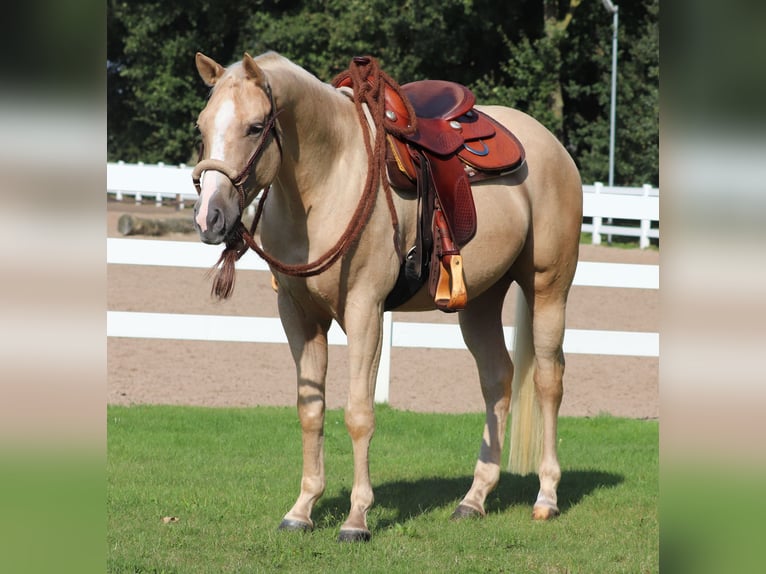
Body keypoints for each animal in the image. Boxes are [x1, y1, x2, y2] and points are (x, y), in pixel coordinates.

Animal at [190, 50, 584, 544]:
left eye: (255, 126)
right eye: (201, 128)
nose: (210, 218)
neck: (328, 179)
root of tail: (551, 145)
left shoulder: (365, 311)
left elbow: (359, 413)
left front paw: (356, 519)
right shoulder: (298, 315)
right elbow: (310, 411)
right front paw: (302, 510)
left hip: (549, 287)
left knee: (549, 381)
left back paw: (546, 497)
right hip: (479, 301)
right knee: (498, 379)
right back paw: (474, 499)